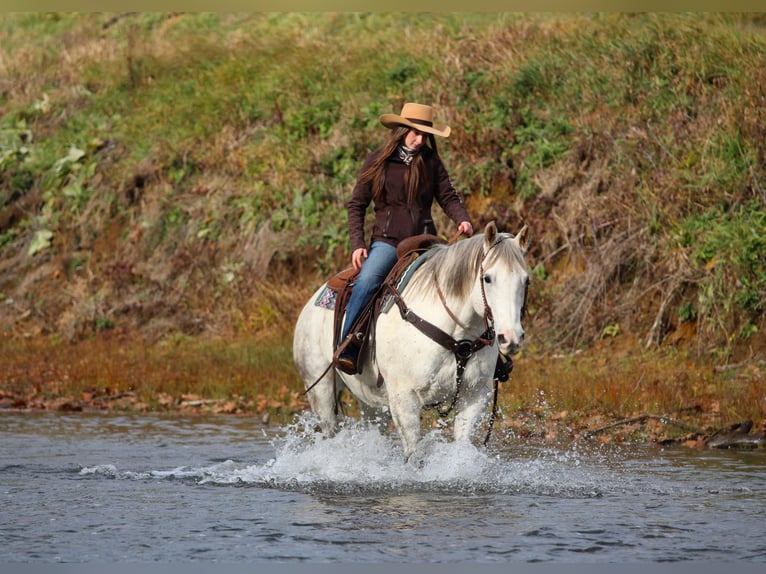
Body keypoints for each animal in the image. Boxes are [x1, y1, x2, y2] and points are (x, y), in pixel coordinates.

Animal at [293, 221, 531, 462]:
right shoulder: (403, 399)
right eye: (487, 278)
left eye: (526, 280)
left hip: (370, 401)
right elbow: (414, 455)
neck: (457, 339)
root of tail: (311, 302)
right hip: (320, 390)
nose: (511, 338)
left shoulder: (474, 396)